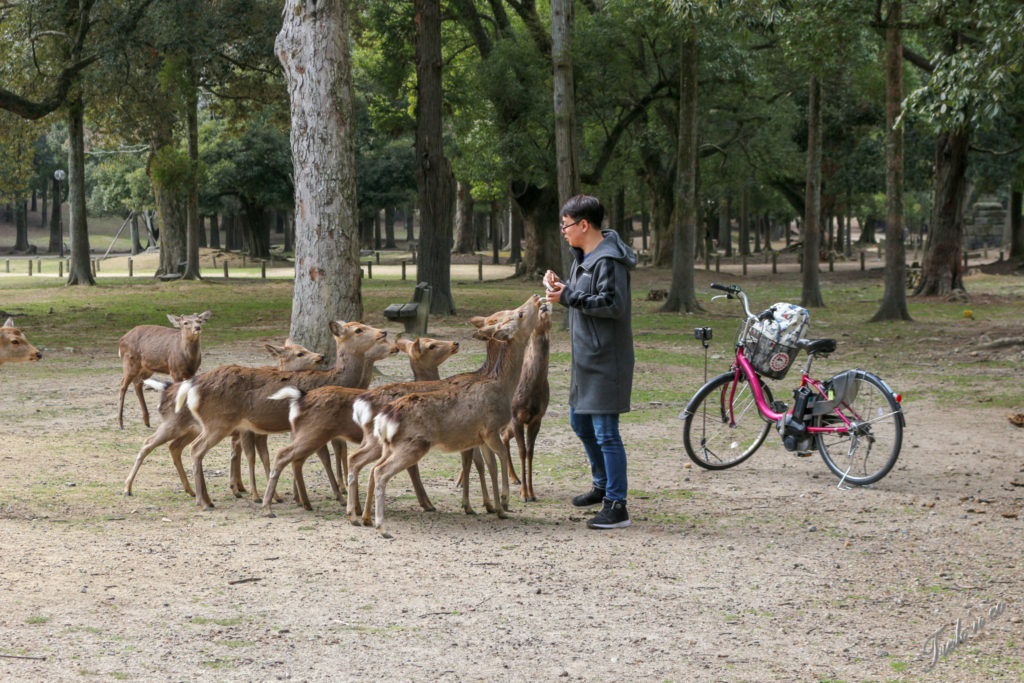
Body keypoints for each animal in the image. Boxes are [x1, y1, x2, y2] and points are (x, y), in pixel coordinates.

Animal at [121, 339, 325, 499]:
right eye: (300, 353)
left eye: (305, 348)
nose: (321, 356)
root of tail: (165, 391)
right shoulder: (246, 431)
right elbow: (250, 456)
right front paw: (255, 492)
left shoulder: (242, 433)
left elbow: (241, 455)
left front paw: (239, 488)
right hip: (174, 423)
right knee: (148, 443)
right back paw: (127, 488)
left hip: (192, 429)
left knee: (174, 447)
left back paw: (191, 490)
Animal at [175, 321, 391, 507]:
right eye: (358, 330)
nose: (383, 332)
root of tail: (192, 386)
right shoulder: (317, 424)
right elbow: (323, 457)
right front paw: (337, 495)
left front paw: (298, 497)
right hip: (218, 420)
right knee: (195, 448)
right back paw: (204, 500)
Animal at [368, 296, 544, 536]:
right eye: (519, 314)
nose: (535, 298)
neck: (502, 387)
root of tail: (384, 417)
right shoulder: (490, 429)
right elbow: (499, 458)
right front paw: (504, 502)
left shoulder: (480, 437)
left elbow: (489, 464)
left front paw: (494, 506)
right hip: (413, 443)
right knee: (380, 471)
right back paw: (381, 525)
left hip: (389, 445)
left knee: (371, 467)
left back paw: (362, 517)